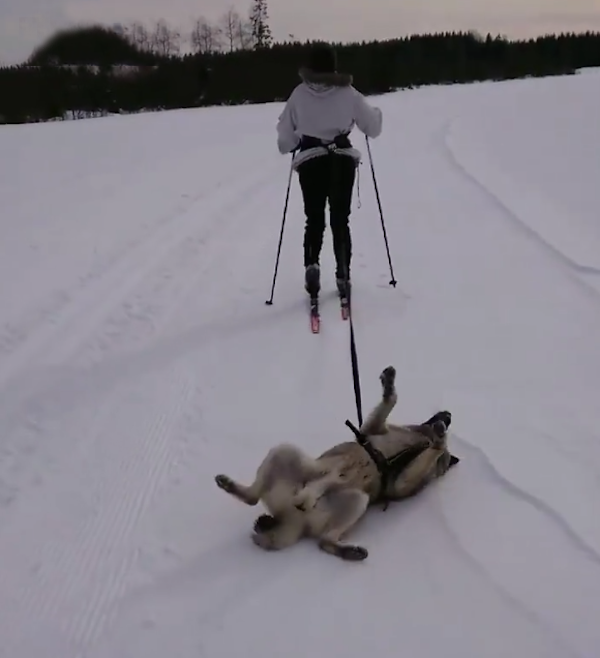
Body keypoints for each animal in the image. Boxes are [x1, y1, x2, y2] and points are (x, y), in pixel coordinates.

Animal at [216, 364, 460, 560]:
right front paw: (389, 384)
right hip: (286, 452)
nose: (448, 414)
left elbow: (432, 452)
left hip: (356, 500)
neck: (421, 440)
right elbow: (391, 401)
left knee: (324, 540)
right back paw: (232, 486)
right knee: (253, 497)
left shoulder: (402, 481)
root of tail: (293, 519)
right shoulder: (372, 430)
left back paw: (346, 549)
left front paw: (441, 441)